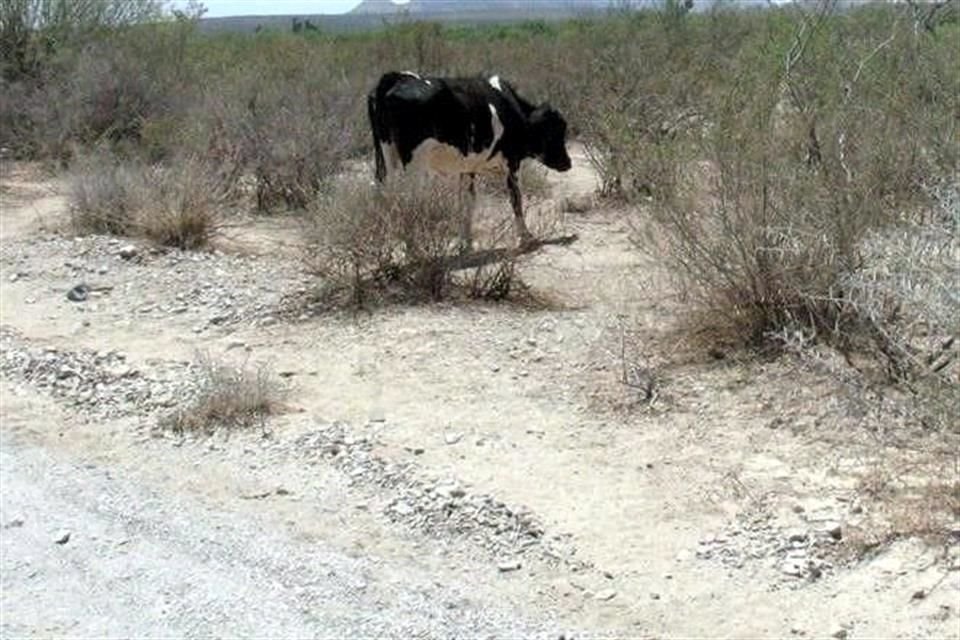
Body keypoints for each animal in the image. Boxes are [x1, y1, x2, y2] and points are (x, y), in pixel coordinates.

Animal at [366, 70, 568, 250]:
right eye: (556, 132)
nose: (568, 163)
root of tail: (396, 77)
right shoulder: (512, 162)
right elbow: (516, 198)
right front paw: (526, 237)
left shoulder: (467, 167)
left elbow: (467, 201)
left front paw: (466, 242)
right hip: (414, 165)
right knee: (407, 199)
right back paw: (412, 248)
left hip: (384, 159)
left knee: (383, 194)